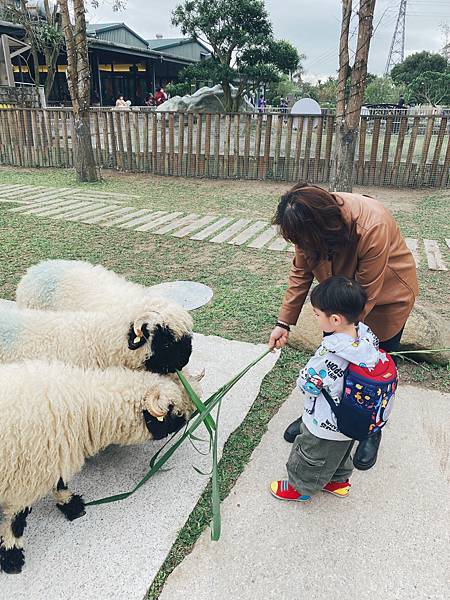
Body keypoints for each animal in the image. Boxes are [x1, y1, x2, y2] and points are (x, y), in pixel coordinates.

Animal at [0, 358, 204, 576]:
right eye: (173, 412)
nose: (192, 415)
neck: (81, 405)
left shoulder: (54, 457)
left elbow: (60, 483)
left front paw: (72, 505)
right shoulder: (25, 479)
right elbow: (16, 521)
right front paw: (12, 556)